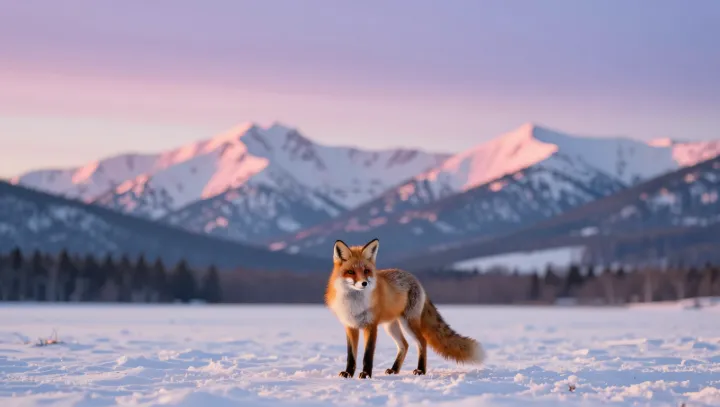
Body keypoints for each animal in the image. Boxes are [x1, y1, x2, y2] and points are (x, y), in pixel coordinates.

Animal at [324, 238, 485, 379]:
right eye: (351, 272)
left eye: (366, 271)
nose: (364, 283)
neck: (355, 304)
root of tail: (415, 279)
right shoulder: (350, 326)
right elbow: (351, 356)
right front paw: (348, 373)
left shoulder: (371, 326)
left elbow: (367, 355)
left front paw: (366, 374)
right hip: (391, 326)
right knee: (405, 345)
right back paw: (395, 370)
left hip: (408, 323)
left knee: (422, 342)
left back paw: (421, 370)